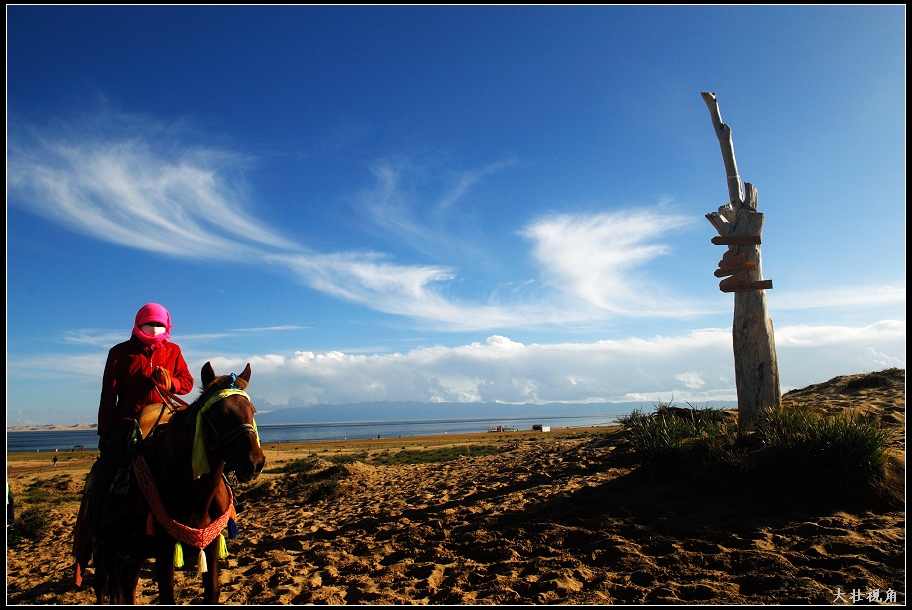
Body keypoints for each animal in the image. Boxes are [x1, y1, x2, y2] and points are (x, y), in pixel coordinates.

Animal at [76, 360, 266, 604]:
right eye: (218, 413)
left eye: (252, 411)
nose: (254, 463)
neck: (193, 494)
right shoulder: (164, 550)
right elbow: (167, 596)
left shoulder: (212, 543)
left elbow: (212, 592)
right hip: (105, 551)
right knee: (103, 587)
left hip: (133, 553)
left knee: (127, 588)